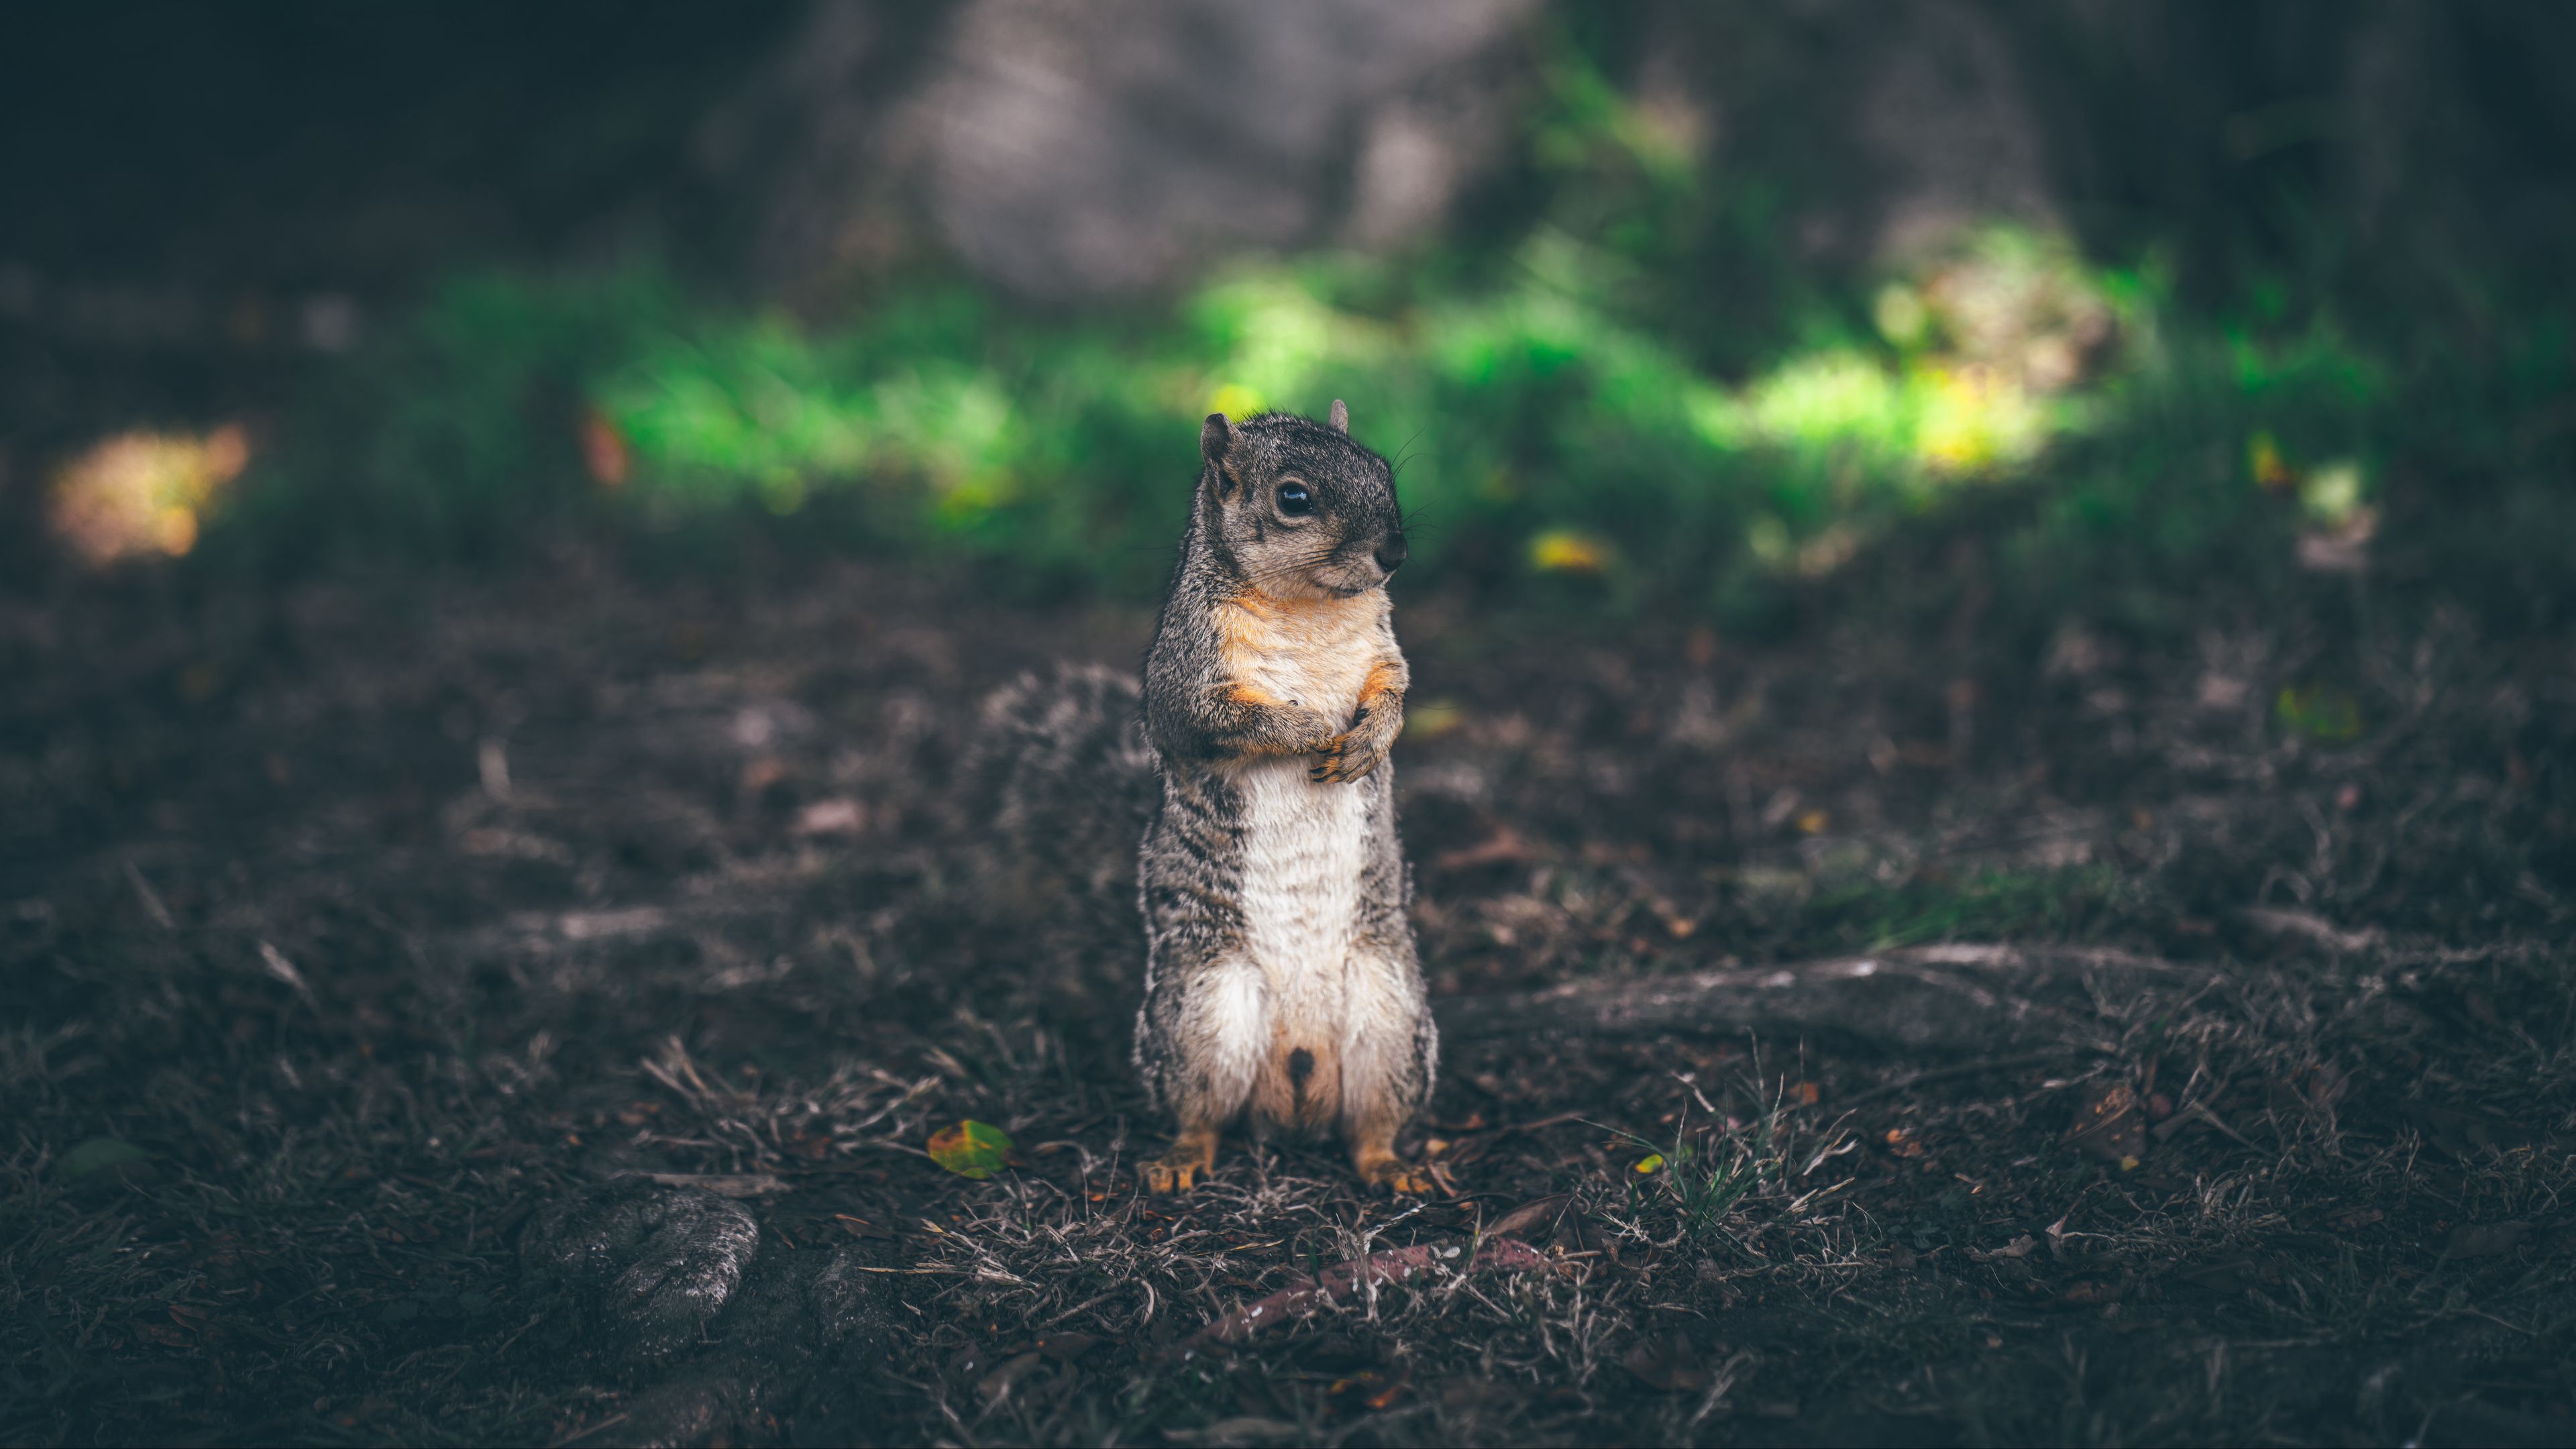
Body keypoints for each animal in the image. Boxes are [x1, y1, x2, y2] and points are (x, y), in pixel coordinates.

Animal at [963, 401, 1434, 1194]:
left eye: (1382, 470)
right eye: (1293, 497)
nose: (1394, 552)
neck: (1311, 607)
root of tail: (1295, 1092)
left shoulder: (1382, 648)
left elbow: (1395, 691)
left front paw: (1370, 739)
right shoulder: (1187, 675)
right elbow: (1223, 721)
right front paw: (1311, 725)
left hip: (1390, 1016)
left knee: (1370, 1123)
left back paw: (1391, 1165)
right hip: (1202, 1015)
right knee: (1201, 1113)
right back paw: (1182, 1160)